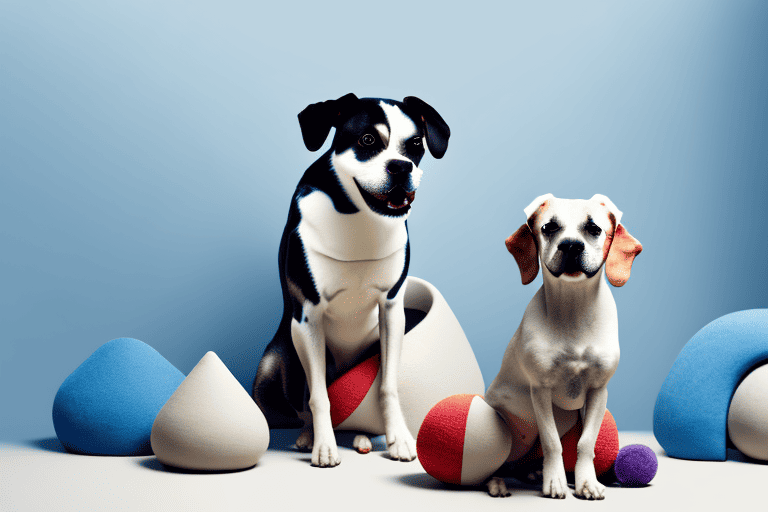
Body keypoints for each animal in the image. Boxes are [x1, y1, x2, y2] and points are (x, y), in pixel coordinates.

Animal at [252, 94, 450, 466]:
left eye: (416, 144)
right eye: (368, 140)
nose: (401, 166)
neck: (358, 216)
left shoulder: (392, 310)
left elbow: (387, 385)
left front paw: (399, 438)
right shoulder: (308, 317)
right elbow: (318, 396)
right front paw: (324, 446)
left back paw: (362, 437)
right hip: (272, 366)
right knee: (301, 405)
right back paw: (307, 436)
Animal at [486, 193, 640, 500]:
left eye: (593, 228)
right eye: (549, 227)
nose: (570, 245)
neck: (574, 312)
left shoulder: (597, 391)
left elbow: (586, 443)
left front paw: (586, 482)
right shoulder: (540, 390)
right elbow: (552, 443)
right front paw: (555, 481)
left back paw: (532, 472)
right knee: (497, 461)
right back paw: (498, 481)